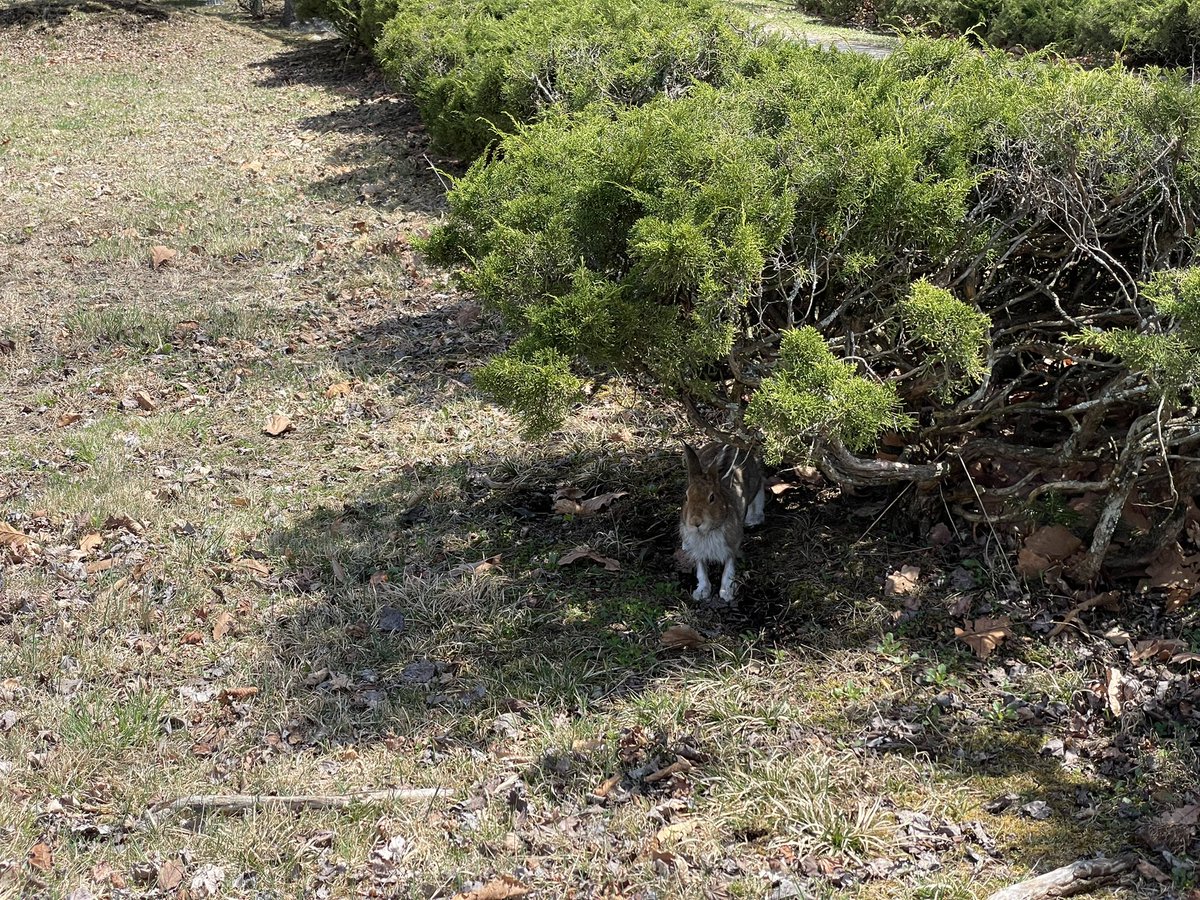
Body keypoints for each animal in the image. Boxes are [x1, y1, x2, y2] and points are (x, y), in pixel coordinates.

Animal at [681, 441, 763, 602]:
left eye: (712, 498)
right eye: (686, 497)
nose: (695, 522)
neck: (708, 531)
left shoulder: (732, 545)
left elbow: (728, 569)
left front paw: (727, 593)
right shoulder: (698, 551)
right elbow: (701, 570)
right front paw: (701, 592)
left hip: (755, 482)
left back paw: (754, 518)